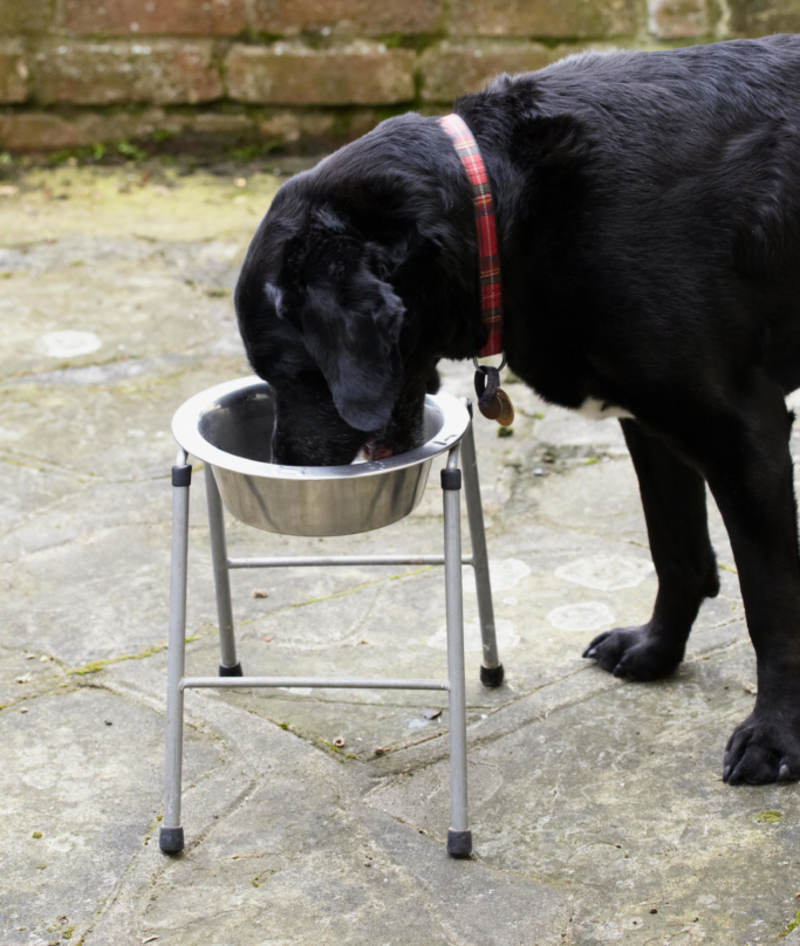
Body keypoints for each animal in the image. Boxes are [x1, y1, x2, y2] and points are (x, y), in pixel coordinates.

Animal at [234, 35, 800, 780]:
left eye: (290, 373)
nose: (281, 461)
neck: (503, 205)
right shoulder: (652, 426)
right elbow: (676, 553)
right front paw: (655, 651)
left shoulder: (743, 434)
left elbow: (771, 603)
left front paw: (776, 736)